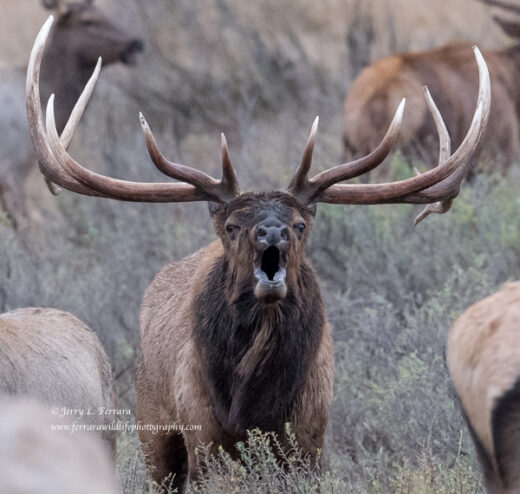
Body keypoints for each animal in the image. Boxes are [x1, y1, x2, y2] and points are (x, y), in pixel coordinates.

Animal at [26, 15, 492, 490]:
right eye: (232, 226)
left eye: (301, 224)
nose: (272, 232)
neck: (253, 404)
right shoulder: (202, 434)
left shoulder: (310, 438)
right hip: (150, 424)